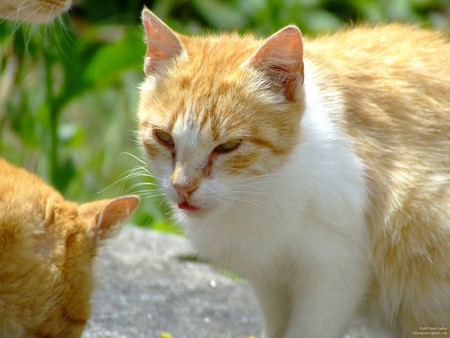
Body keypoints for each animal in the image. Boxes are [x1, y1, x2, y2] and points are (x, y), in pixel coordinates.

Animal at [138, 7, 450, 338]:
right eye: (164, 137)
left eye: (228, 146)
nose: (183, 187)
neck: (264, 188)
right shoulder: (269, 279)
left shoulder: (337, 270)